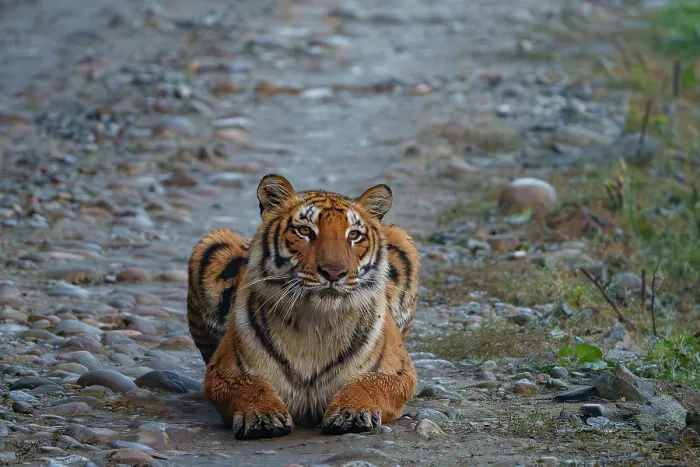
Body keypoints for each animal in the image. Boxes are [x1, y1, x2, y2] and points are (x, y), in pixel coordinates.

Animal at [186, 174, 420, 439]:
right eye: (305, 231)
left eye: (353, 235)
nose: (334, 272)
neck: (316, 322)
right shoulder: (222, 372)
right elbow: (249, 385)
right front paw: (263, 416)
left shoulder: (399, 372)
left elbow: (368, 383)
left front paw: (351, 412)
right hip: (212, 245)